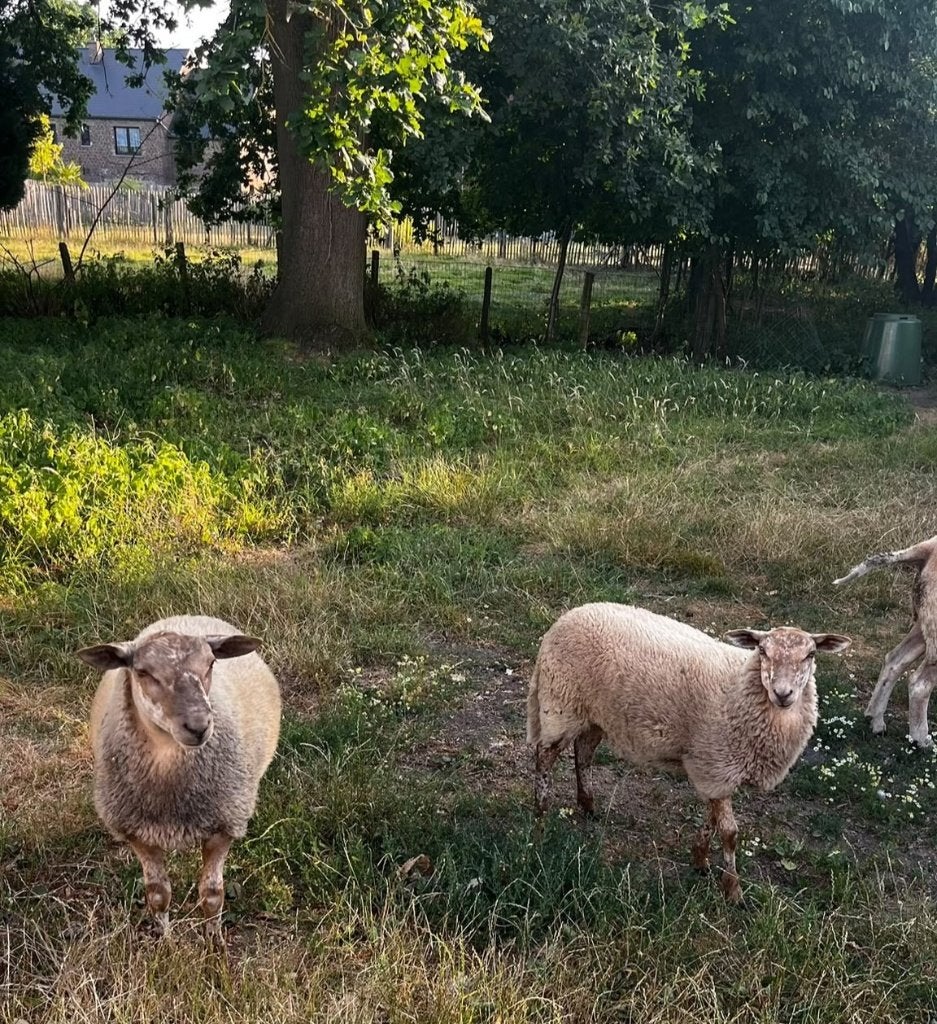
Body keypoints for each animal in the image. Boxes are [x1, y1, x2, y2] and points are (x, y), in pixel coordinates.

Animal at [76, 614, 281, 945]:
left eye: (211, 664)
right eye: (143, 672)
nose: (198, 725)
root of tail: (187, 616)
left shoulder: (222, 827)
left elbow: (211, 895)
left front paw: (214, 945)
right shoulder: (138, 833)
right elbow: (158, 895)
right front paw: (166, 945)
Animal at [527, 603, 850, 902]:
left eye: (811, 654)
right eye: (762, 651)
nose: (783, 694)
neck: (740, 689)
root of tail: (568, 616)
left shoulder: (715, 769)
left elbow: (712, 821)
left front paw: (700, 859)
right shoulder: (717, 766)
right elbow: (730, 833)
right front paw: (733, 890)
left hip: (596, 713)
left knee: (584, 752)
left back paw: (588, 805)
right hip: (561, 703)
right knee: (544, 758)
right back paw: (539, 824)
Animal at [834, 535, 937, 746]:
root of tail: (927, 548)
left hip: (924, 624)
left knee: (894, 661)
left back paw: (876, 720)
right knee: (919, 684)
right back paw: (921, 739)